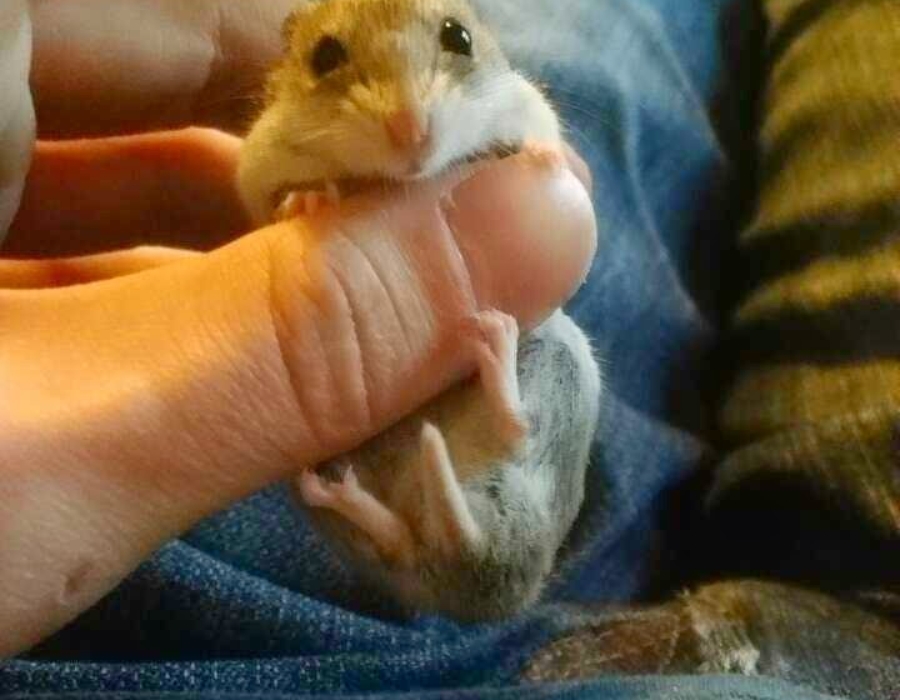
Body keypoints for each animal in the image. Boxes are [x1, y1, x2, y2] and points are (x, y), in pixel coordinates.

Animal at [237, 0, 602, 622]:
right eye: (325, 55)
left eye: (459, 36)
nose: (411, 133)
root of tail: (486, 578)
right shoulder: (258, 168)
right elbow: (279, 197)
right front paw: (309, 201)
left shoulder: (528, 107)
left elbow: (537, 139)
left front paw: (538, 160)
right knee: (401, 540)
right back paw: (345, 489)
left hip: (568, 359)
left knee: (516, 433)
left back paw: (490, 350)